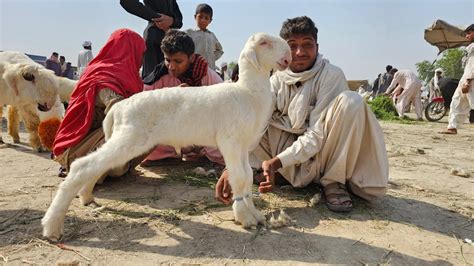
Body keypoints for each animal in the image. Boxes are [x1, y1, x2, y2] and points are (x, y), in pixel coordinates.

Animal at [41, 32, 292, 240]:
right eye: (264, 43)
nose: (288, 57)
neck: (248, 92)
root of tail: (119, 108)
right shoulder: (229, 141)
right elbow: (238, 178)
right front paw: (245, 218)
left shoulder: (243, 146)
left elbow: (247, 177)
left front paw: (255, 214)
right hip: (130, 137)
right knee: (82, 166)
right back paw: (52, 226)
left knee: (95, 166)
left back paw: (86, 197)